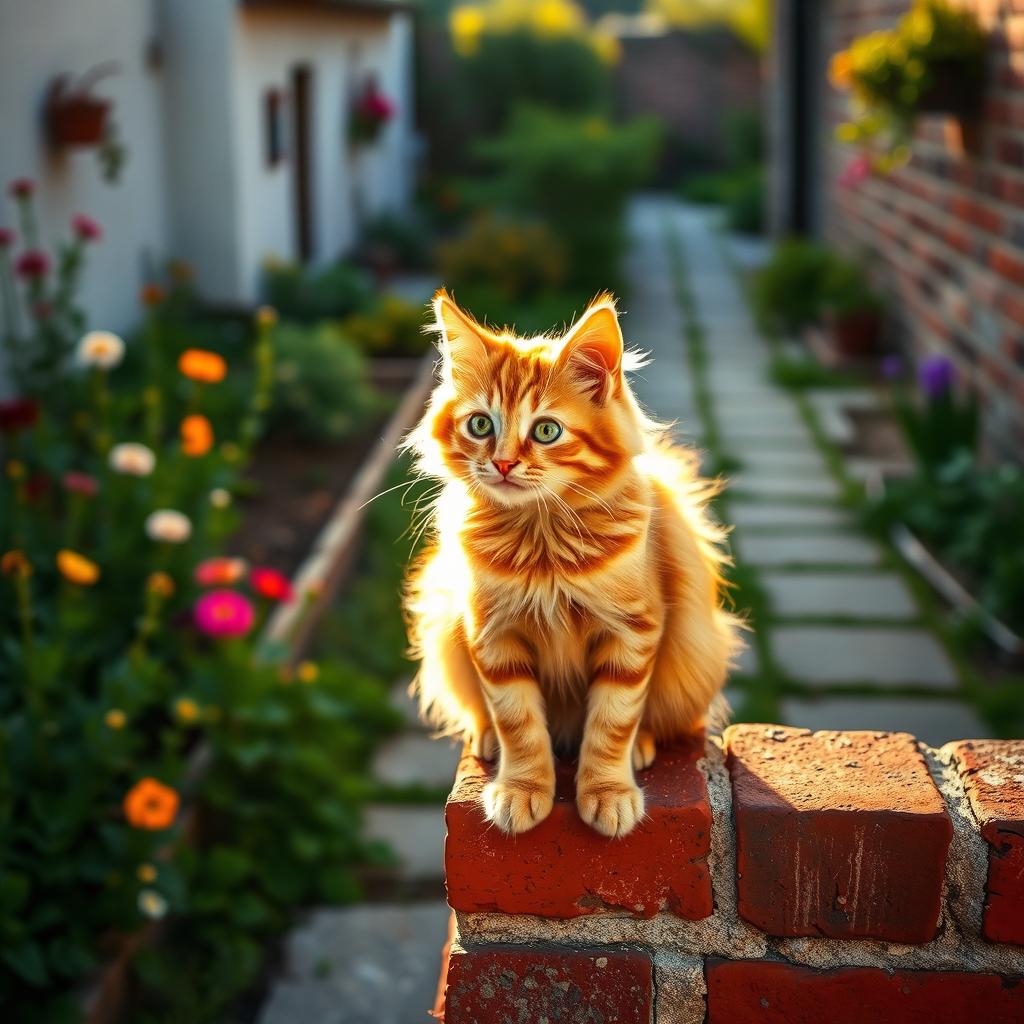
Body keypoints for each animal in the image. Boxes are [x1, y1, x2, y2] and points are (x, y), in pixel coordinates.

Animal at [403, 292, 741, 835]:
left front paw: (608, 792)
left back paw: (641, 748)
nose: (502, 463)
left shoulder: (633, 633)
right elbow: (519, 724)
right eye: (481, 425)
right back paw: (486, 738)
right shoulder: (492, 635)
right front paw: (521, 789)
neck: (542, 544)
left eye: (546, 431)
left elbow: (612, 723)